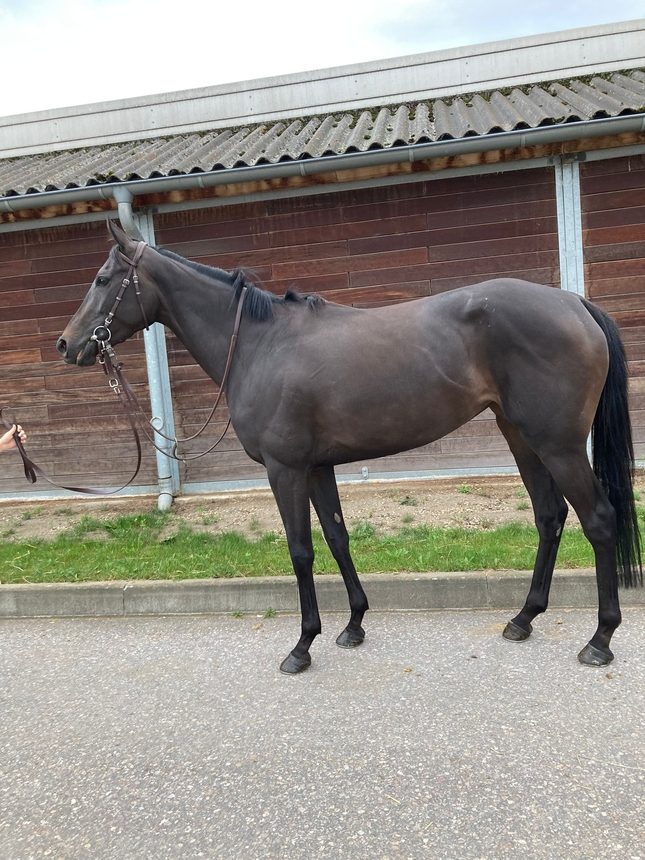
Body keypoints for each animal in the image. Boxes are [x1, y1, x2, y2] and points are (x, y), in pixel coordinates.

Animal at [57, 222, 642, 674]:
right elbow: (338, 539)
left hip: (559, 444)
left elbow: (301, 551)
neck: (260, 345)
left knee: (598, 519)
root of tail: (573, 303)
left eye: (103, 279)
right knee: (549, 515)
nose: (68, 344)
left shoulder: (285, 469)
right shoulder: (318, 467)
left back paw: (600, 639)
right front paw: (354, 624)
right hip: (521, 436)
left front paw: (301, 646)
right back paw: (523, 618)